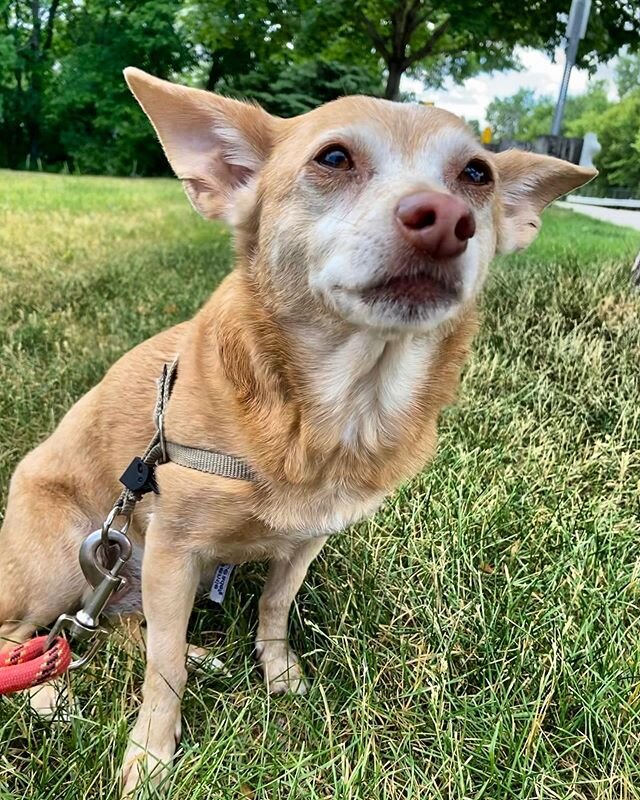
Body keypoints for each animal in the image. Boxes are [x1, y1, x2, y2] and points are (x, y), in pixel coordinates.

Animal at [0, 69, 596, 792]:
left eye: (476, 173)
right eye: (333, 158)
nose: (445, 219)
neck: (332, 413)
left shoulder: (306, 539)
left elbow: (272, 608)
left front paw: (278, 673)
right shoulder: (174, 547)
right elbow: (161, 673)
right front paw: (151, 756)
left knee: (130, 627)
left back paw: (194, 655)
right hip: (67, 559)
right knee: (28, 639)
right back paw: (45, 693)